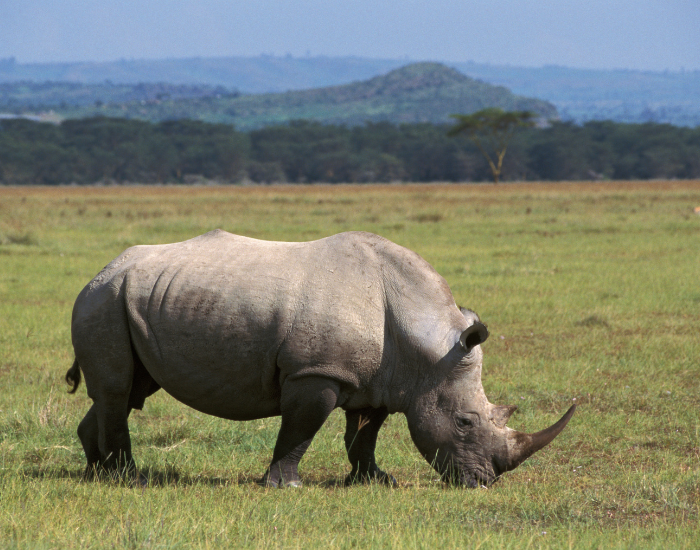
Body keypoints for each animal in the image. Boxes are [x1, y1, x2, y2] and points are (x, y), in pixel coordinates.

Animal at [66, 230, 575, 488]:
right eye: (466, 422)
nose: (485, 481)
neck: (426, 345)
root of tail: (100, 270)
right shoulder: (316, 372)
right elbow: (300, 430)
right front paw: (284, 486)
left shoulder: (378, 379)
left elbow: (364, 434)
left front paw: (375, 481)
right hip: (103, 301)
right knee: (118, 390)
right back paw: (128, 478)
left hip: (130, 298)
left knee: (129, 389)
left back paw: (95, 472)